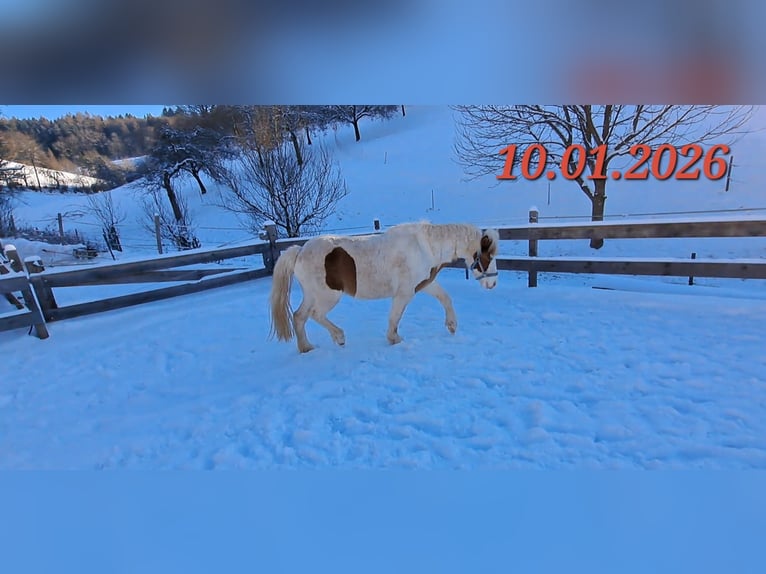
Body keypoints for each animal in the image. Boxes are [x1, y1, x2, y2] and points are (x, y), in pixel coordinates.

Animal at [269, 222, 500, 353]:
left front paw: (452, 326)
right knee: (314, 314)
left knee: (299, 316)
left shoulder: (424, 285)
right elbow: (394, 317)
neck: (425, 247)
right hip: (328, 296)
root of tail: (299, 251)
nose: (493, 283)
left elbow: (445, 297)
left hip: (313, 294)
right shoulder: (404, 293)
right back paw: (339, 337)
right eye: (489, 256)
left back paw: (306, 348)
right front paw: (394, 339)